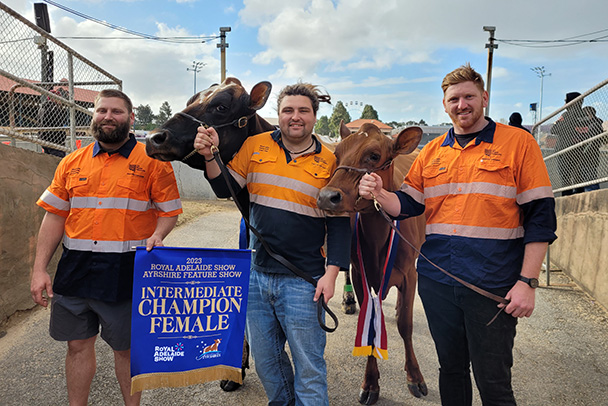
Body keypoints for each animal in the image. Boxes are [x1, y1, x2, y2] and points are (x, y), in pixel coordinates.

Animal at [318, 122, 428, 404]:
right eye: (337, 154)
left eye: (374, 156)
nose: (326, 196)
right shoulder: (361, 273)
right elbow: (368, 328)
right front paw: (370, 383)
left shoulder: (410, 274)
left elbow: (406, 325)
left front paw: (415, 376)